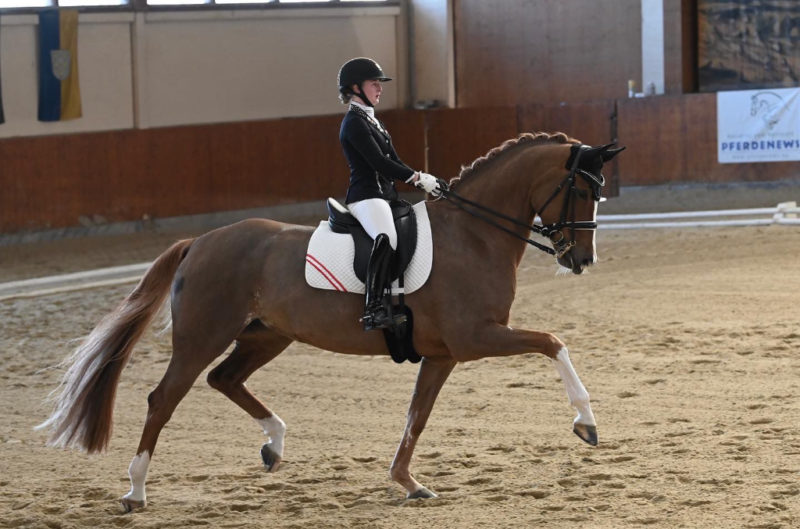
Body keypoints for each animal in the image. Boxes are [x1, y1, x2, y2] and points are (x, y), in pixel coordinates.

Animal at [37, 130, 624, 510]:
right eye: (582, 189)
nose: (582, 259)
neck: (475, 234)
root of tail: (199, 242)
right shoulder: (475, 337)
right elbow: (553, 341)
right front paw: (586, 422)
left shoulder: (442, 354)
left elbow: (417, 416)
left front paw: (407, 482)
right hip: (202, 336)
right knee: (164, 399)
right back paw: (135, 491)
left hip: (266, 335)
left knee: (224, 378)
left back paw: (274, 444)